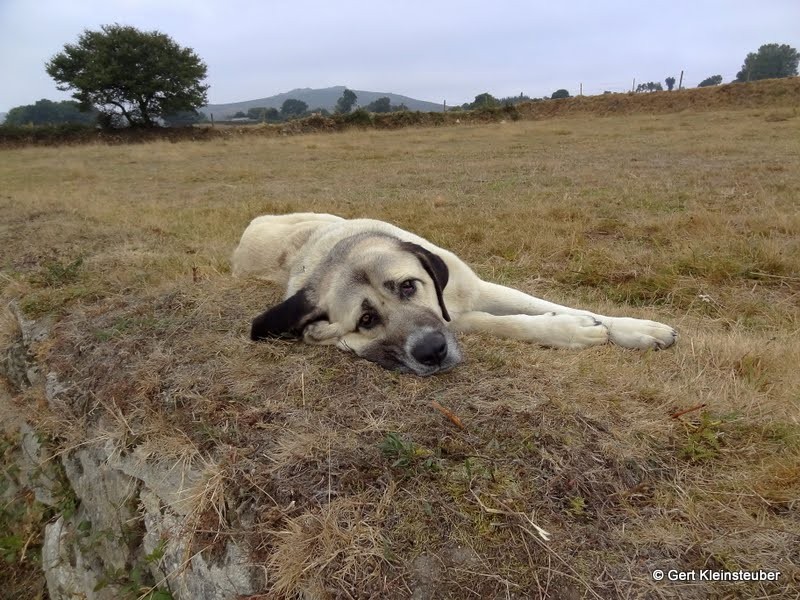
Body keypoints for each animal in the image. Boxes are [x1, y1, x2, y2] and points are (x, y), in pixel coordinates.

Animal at [231, 213, 676, 376]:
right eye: (366, 320)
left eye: (409, 286)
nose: (432, 353)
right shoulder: (458, 316)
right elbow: (505, 323)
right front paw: (570, 330)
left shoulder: (477, 286)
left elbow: (548, 304)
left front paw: (636, 329)